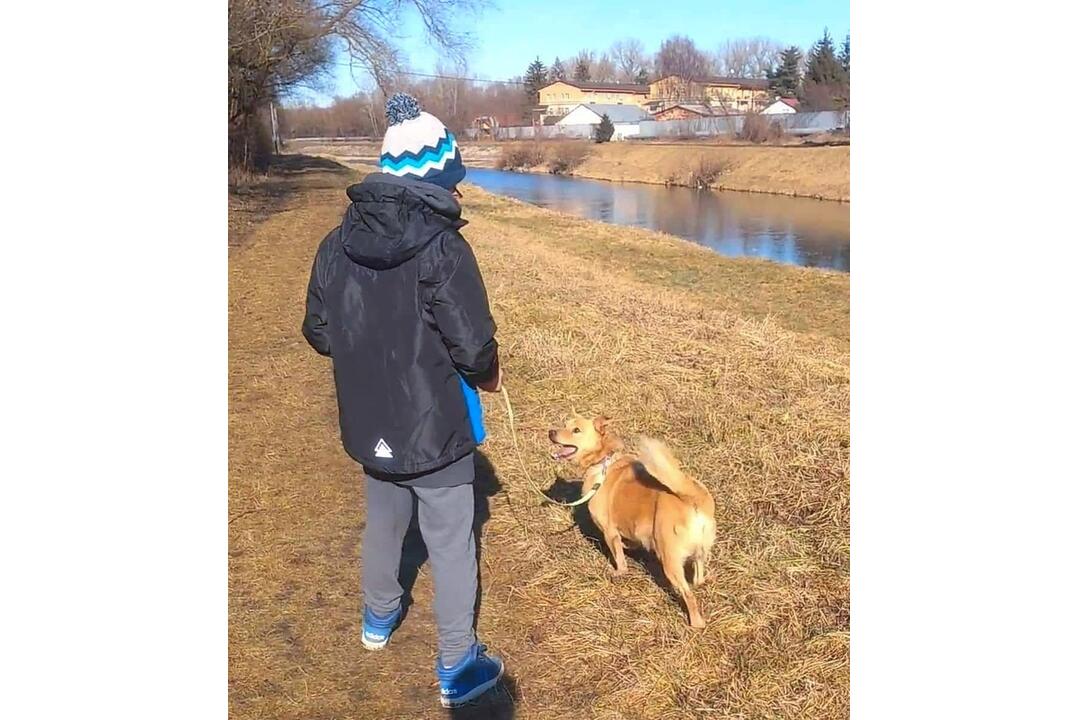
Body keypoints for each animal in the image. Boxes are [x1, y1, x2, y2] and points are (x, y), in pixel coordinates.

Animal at [548, 414, 717, 626]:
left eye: (576, 430)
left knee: (688, 595)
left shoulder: (609, 531)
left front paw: (619, 572)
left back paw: (696, 623)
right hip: (700, 552)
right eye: (564, 424)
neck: (603, 461)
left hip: (669, 560)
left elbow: (618, 556)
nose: (550, 432)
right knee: (698, 577)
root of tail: (691, 497)